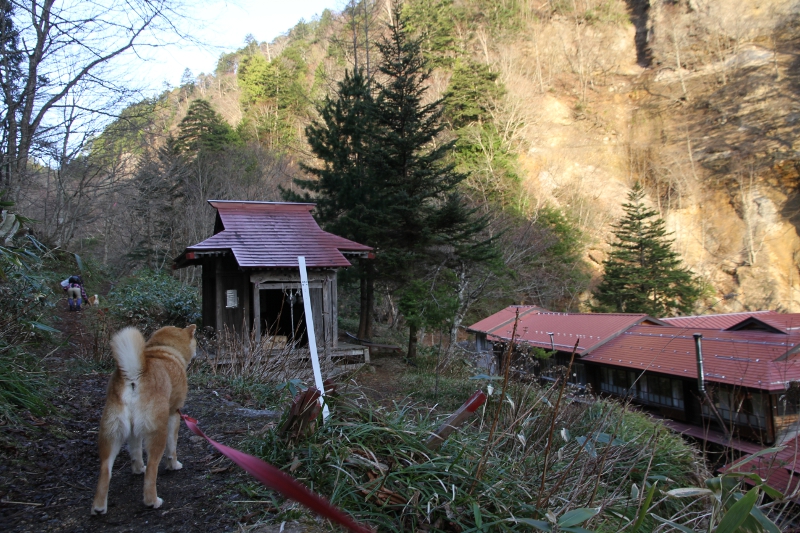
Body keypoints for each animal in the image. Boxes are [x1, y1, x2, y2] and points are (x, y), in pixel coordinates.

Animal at [90, 322, 195, 512]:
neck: (165, 349)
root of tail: (134, 377)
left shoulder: (134, 431)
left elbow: (135, 451)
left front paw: (138, 468)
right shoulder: (174, 414)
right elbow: (172, 448)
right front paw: (174, 465)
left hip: (111, 434)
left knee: (105, 470)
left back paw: (99, 507)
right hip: (156, 433)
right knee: (152, 469)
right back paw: (153, 500)